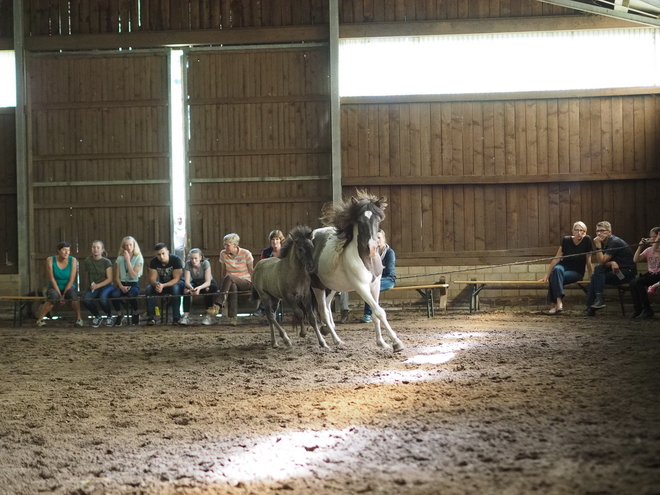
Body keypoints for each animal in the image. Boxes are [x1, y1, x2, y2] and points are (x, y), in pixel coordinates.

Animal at [312, 193, 404, 352]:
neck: (366, 260)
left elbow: (375, 313)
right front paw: (396, 342)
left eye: (378, 220)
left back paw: (327, 329)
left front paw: (382, 342)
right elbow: (379, 312)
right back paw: (337, 341)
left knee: (327, 309)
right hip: (317, 286)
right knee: (323, 311)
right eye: (360, 221)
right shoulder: (361, 287)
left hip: (331, 287)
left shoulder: (375, 285)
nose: (372, 248)